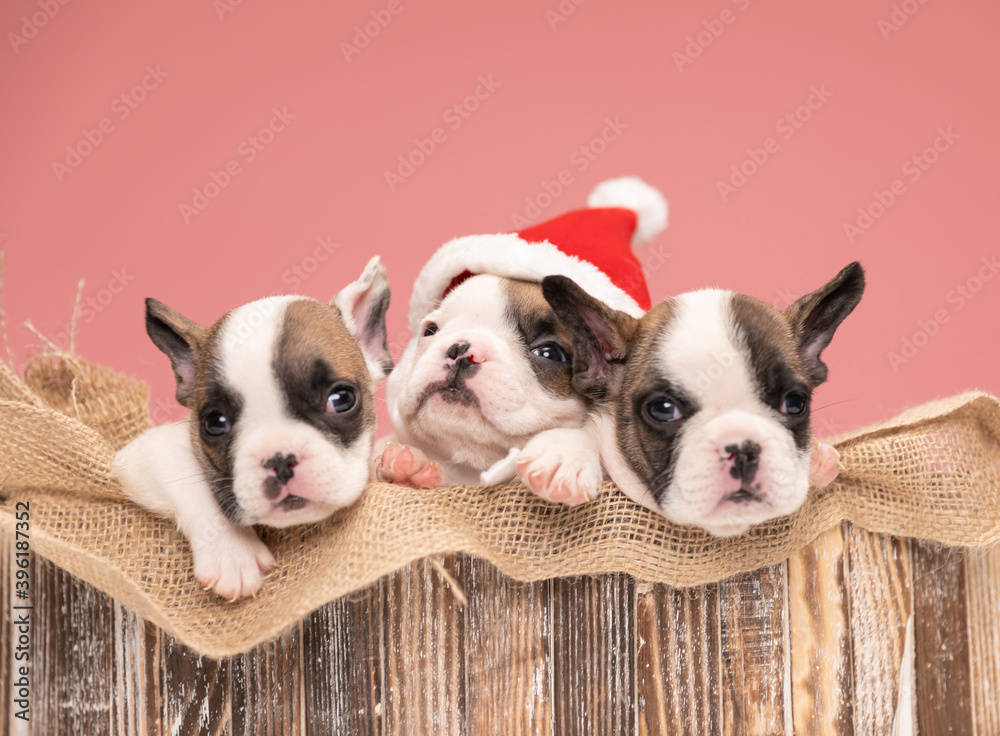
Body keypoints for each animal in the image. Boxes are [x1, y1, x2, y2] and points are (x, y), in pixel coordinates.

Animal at [110, 258, 390, 600]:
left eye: (341, 399)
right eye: (215, 423)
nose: (280, 460)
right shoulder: (148, 450)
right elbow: (188, 478)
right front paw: (232, 551)